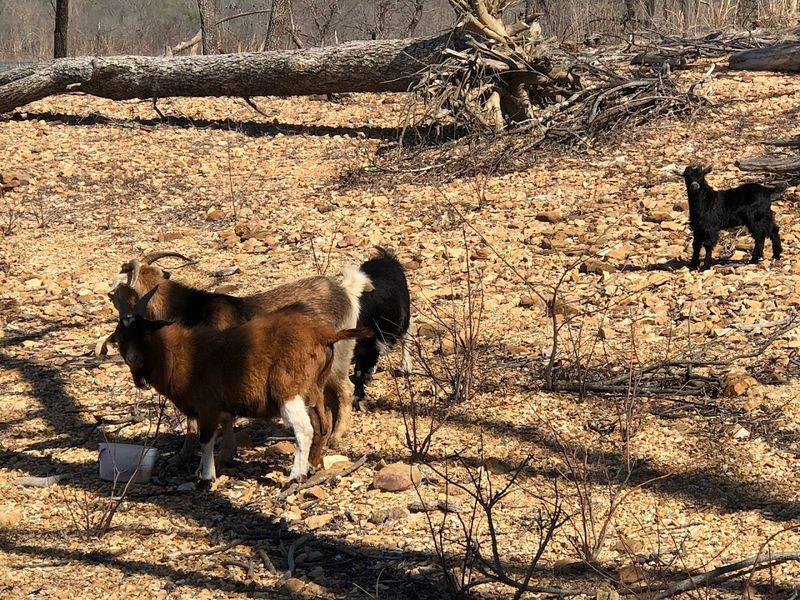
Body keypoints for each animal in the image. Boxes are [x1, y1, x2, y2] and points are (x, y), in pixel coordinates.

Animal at [107, 252, 371, 463]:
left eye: (117, 291)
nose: (109, 293)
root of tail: (345, 293)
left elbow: (218, 417)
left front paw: (217, 454)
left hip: (338, 359)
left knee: (345, 389)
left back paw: (336, 436)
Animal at [352, 247, 412, 407]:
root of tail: (386, 258)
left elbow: (358, 370)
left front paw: (358, 398)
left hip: (403, 314)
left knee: (406, 333)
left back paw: (406, 366)